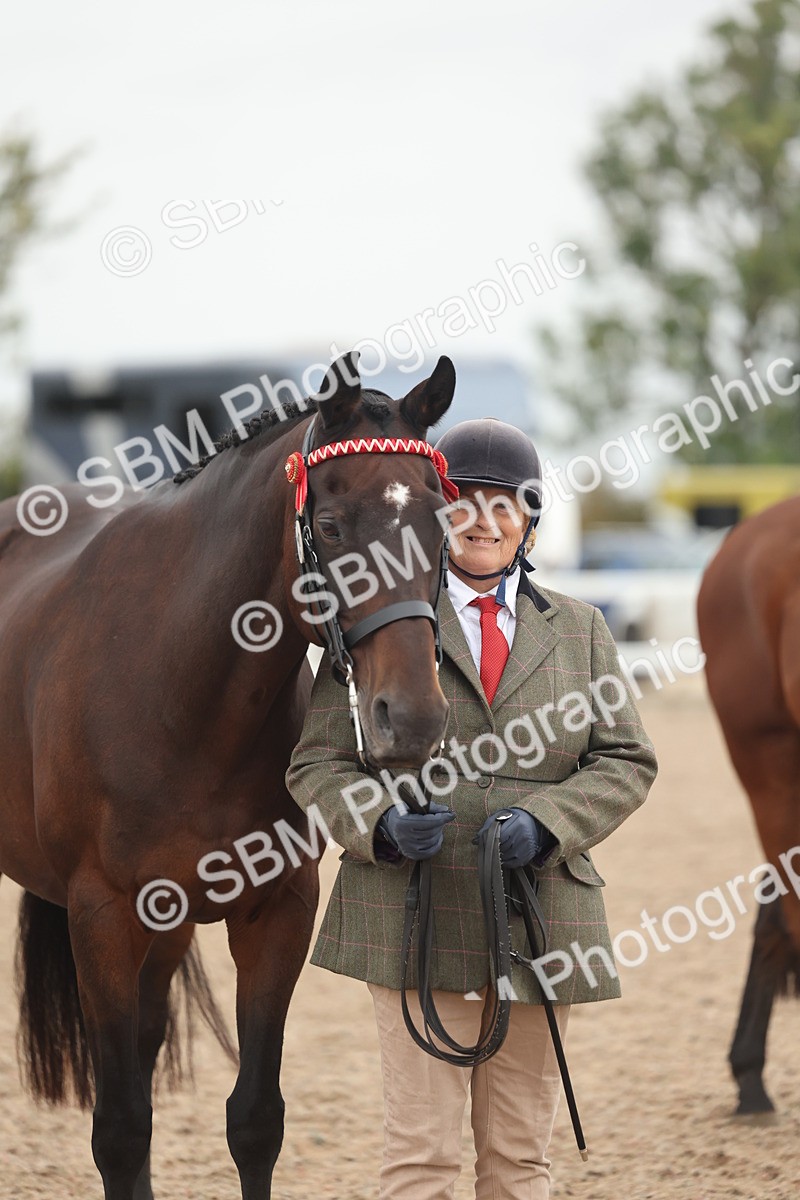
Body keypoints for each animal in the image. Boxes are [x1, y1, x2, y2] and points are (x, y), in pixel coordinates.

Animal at [0, 350, 456, 1199]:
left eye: (443, 523)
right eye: (331, 528)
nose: (410, 719)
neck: (178, 690)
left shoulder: (275, 912)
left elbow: (253, 1119)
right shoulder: (101, 919)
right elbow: (120, 1129)